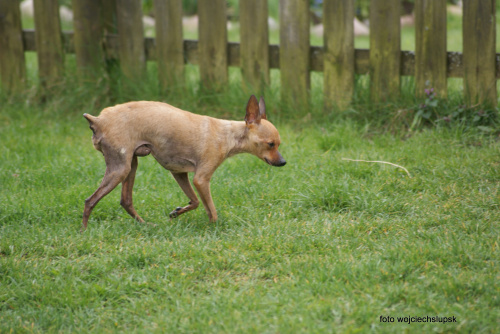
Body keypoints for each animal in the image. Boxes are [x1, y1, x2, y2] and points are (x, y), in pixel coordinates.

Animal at [82, 94, 286, 230]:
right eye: (270, 144)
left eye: (278, 144)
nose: (283, 162)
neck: (228, 135)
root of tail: (98, 120)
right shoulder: (201, 179)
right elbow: (211, 210)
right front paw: (214, 228)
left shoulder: (179, 173)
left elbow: (195, 202)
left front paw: (177, 212)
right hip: (120, 168)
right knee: (90, 201)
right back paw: (84, 231)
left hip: (131, 165)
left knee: (126, 201)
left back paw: (146, 225)